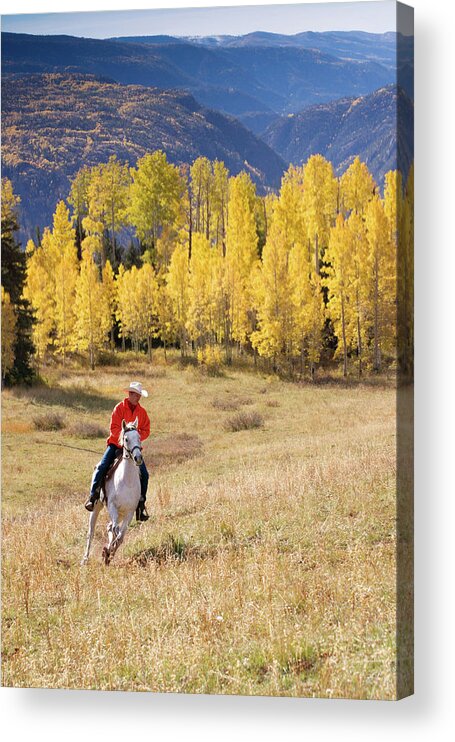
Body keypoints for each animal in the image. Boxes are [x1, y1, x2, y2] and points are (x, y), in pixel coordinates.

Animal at [82, 422, 144, 568]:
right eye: (126, 439)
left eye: (139, 437)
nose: (138, 458)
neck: (126, 480)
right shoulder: (112, 507)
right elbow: (116, 530)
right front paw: (107, 551)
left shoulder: (129, 512)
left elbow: (120, 536)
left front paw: (109, 553)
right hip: (97, 507)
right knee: (91, 532)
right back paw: (85, 559)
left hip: (120, 513)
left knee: (109, 527)